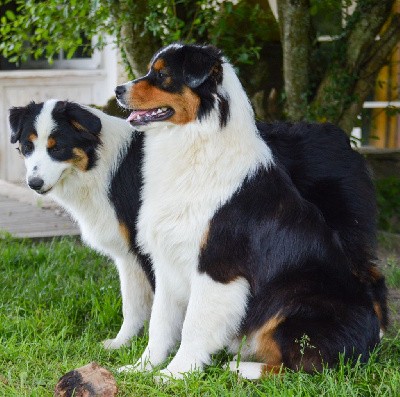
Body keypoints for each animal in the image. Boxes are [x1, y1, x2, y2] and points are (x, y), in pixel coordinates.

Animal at [9, 100, 154, 348]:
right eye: (28, 146)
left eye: (57, 148)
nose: (34, 183)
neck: (100, 168)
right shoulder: (128, 254)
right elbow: (133, 304)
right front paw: (121, 344)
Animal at [115, 43, 388, 378]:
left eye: (163, 75)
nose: (117, 90)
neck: (195, 142)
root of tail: (372, 344)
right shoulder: (168, 260)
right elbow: (160, 322)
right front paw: (142, 367)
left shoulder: (217, 266)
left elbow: (193, 326)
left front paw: (174, 375)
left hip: (296, 302)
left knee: (301, 368)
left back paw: (237, 367)